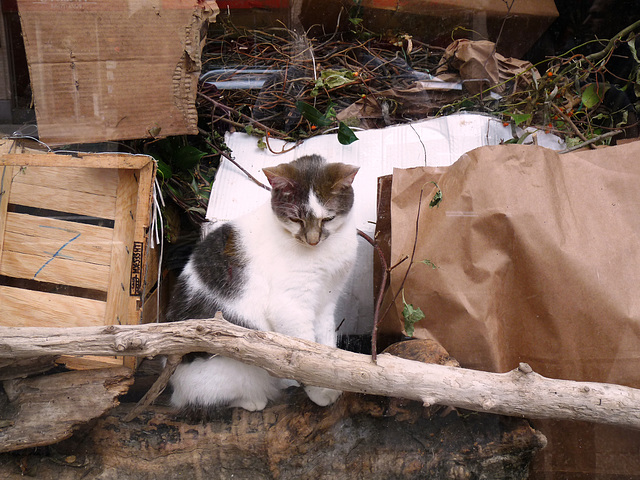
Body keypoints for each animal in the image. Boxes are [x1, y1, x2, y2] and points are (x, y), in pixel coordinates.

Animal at [166, 154, 360, 412]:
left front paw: (330, 379)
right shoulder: (290, 305)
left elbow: (325, 346)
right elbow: (305, 354)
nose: (312, 240)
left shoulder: (326, 301)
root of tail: (175, 385)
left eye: (328, 218)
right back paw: (254, 399)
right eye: (295, 219)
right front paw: (319, 391)